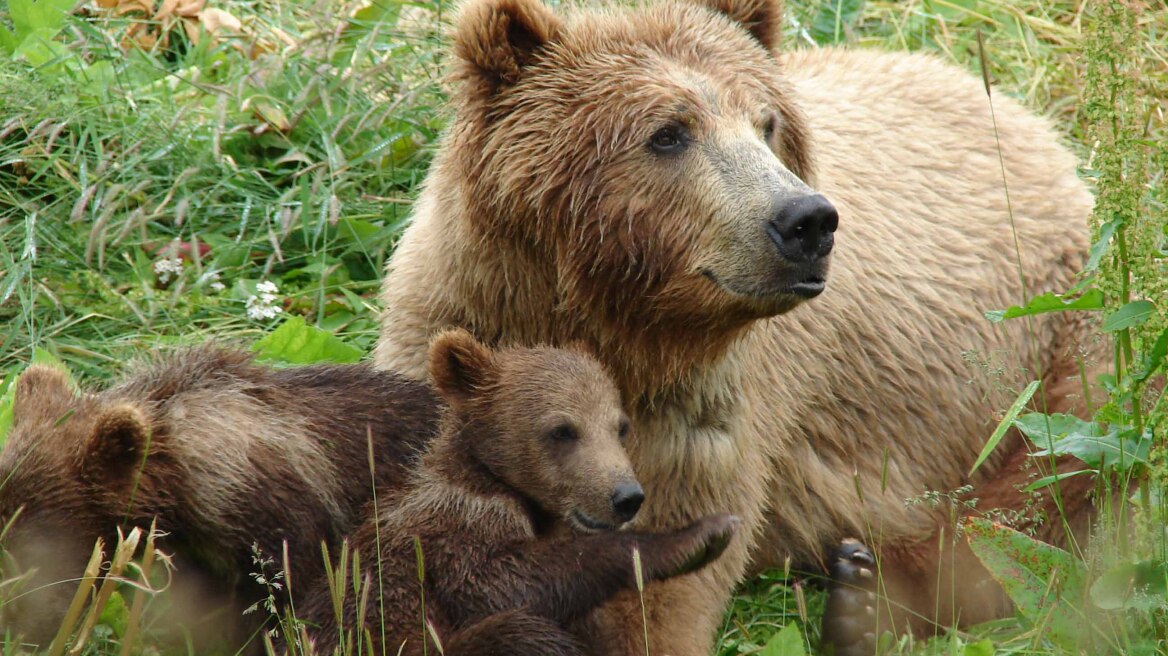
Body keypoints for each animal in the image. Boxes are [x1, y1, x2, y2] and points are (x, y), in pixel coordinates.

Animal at [371, 0, 1093, 648]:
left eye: (766, 123)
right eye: (668, 131)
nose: (806, 221)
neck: (615, 324)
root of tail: (1020, 113)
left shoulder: (706, 415)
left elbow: (660, 592)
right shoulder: (454, 335)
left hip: (1054, 329)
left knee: (1044, 497)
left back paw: (863, 602)